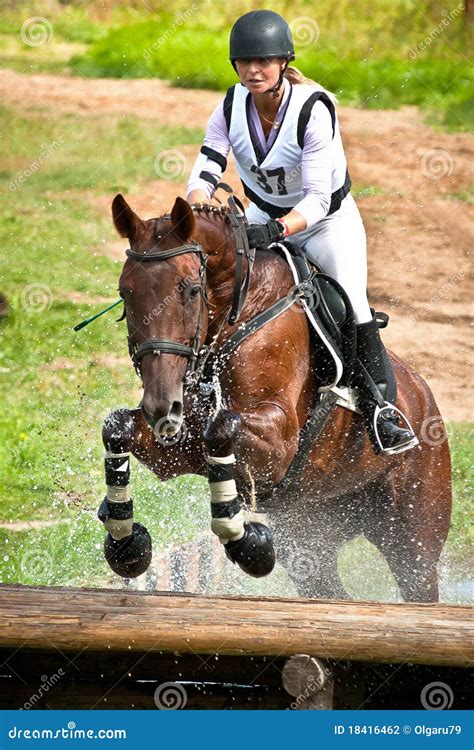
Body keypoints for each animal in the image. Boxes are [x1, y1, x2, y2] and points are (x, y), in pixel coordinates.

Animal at [96, 192, 452, 604]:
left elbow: (221, 428)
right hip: (311, 535)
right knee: (327, 588)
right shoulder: (176, 447)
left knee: (418, 583)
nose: (160, 406)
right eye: (125, 292)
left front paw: (246, 541)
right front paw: (125, 544)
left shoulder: (278, 443)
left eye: (190, 290)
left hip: (412, 540)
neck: (239, 310)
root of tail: (425, 397)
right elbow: (117, 426)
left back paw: (390, 425)